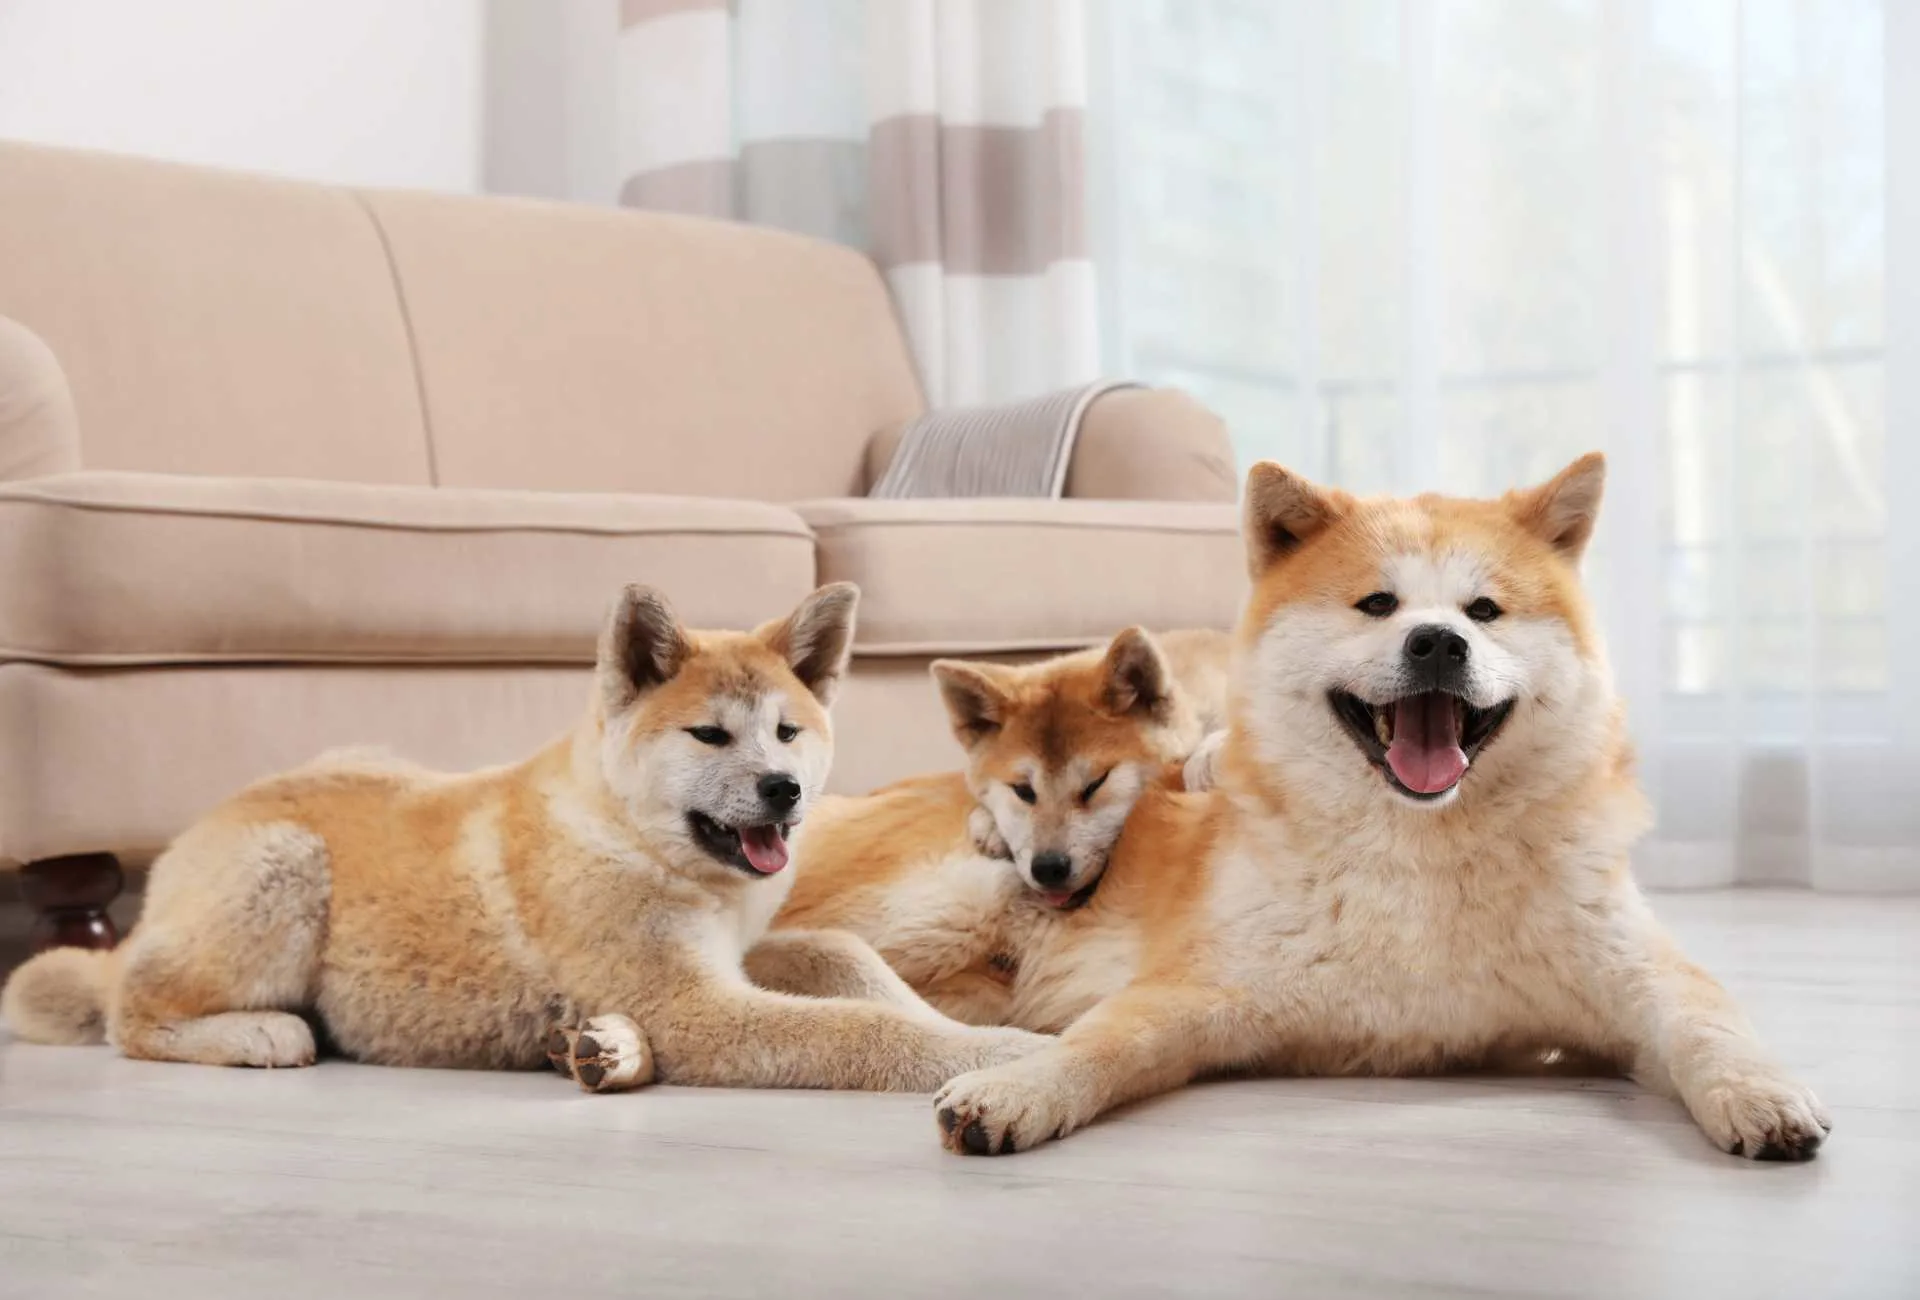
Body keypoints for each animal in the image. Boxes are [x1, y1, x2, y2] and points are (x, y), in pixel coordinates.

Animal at [0, 583, 1052, 1090]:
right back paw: (257, 1032)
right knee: (129, 1010)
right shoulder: (693, 1009)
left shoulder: (736, 956)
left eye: (788, 731)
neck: (632, 839)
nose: (785, 791)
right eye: (711, 735)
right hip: (284, 868)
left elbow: (848, 958)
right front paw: (996, 1054)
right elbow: (862, 1028)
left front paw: (983, 1029)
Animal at [906, 453, 1820, 1159]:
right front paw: (1018, 1088)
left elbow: (1708, 1025)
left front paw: (1762, 1093)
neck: (1421, 854)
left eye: (1483, 611)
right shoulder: (1195, 987)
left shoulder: (1633, 978)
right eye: (1379, 604)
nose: (1438, 641)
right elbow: (1101, 1039)